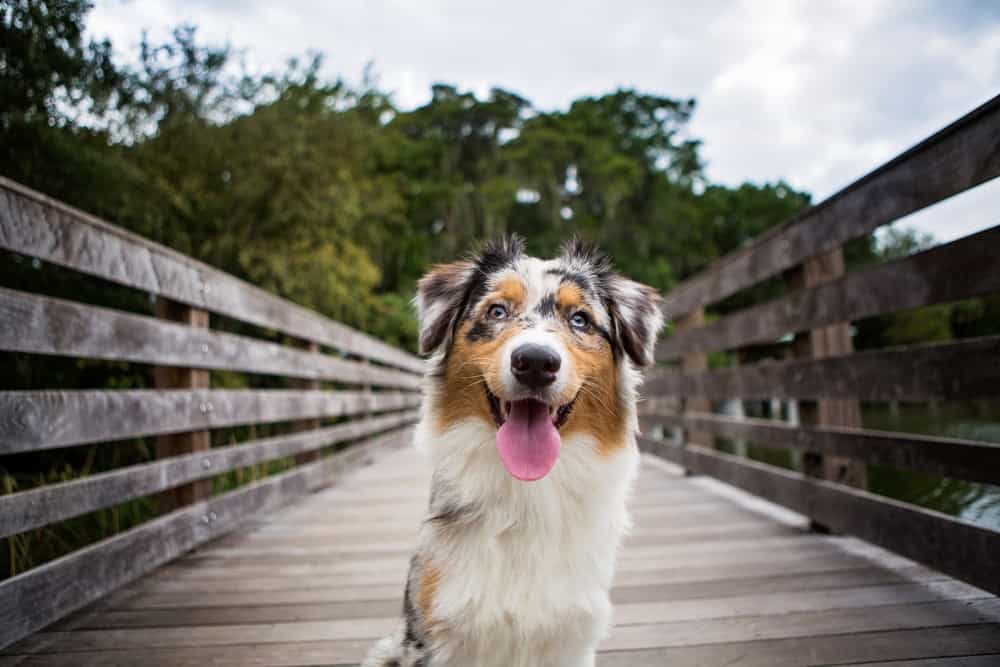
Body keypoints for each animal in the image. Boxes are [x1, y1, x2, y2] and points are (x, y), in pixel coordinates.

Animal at [364, 236, 660, 667]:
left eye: (580, 319)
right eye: (497, 311)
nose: (535, 362)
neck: (527, 490)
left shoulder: (572, 636)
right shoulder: (429, 634)